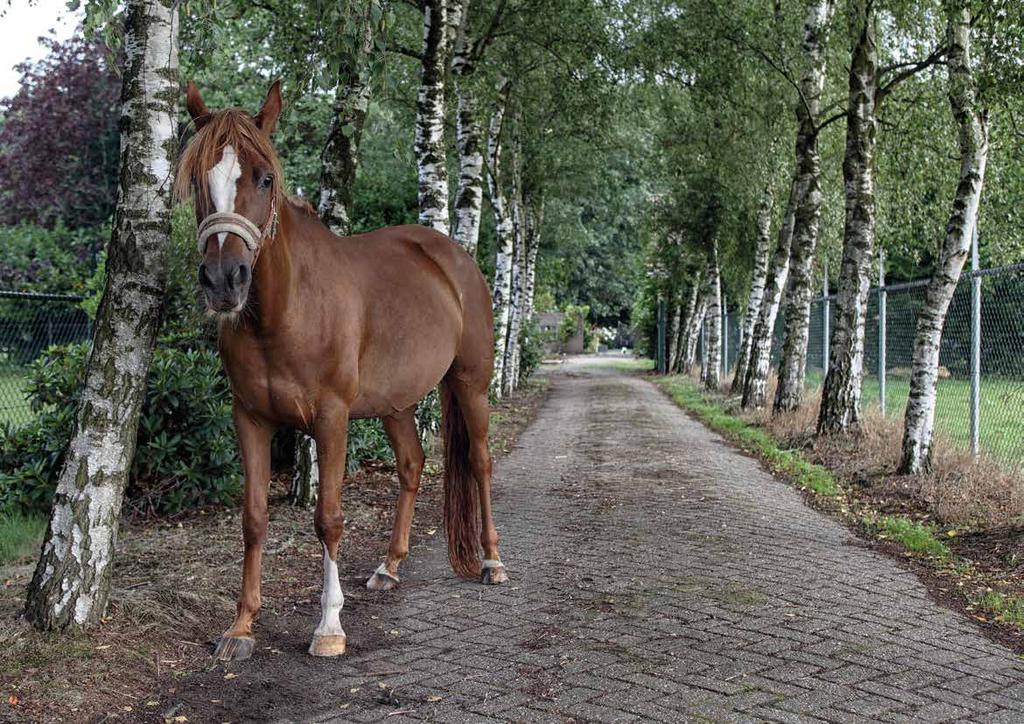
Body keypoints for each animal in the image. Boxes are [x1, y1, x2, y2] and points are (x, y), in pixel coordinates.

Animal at [180, 80, 512, 663]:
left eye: (264, 178)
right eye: (200, 180)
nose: (224, 280)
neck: (286, 311)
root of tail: (454, 259)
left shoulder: (331, 420)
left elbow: (329, 518)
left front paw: (329, 626)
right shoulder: (250, 420)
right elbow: (254, 518)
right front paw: (242, 626)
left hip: (470, 384)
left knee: (479, 462)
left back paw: (492, 562)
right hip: (397, 403)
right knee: (410, 465)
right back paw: (389, 567)